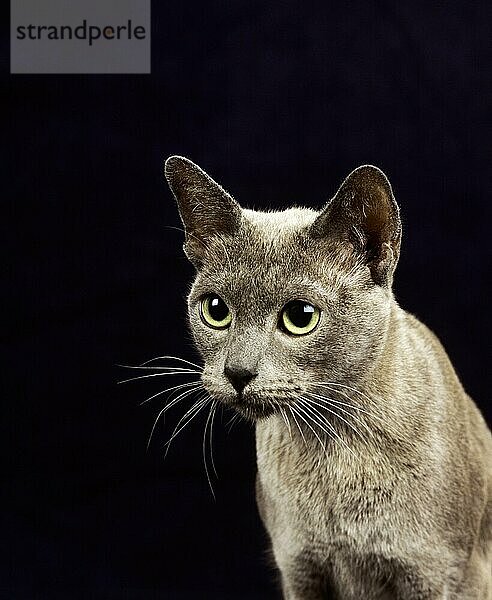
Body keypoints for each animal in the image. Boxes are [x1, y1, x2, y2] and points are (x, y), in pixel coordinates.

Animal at [163, 156, 490, 600]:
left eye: (301, 317)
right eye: (216, 310)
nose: (237, 372)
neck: (333, 446)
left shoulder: (436, 575)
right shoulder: (300, 571)